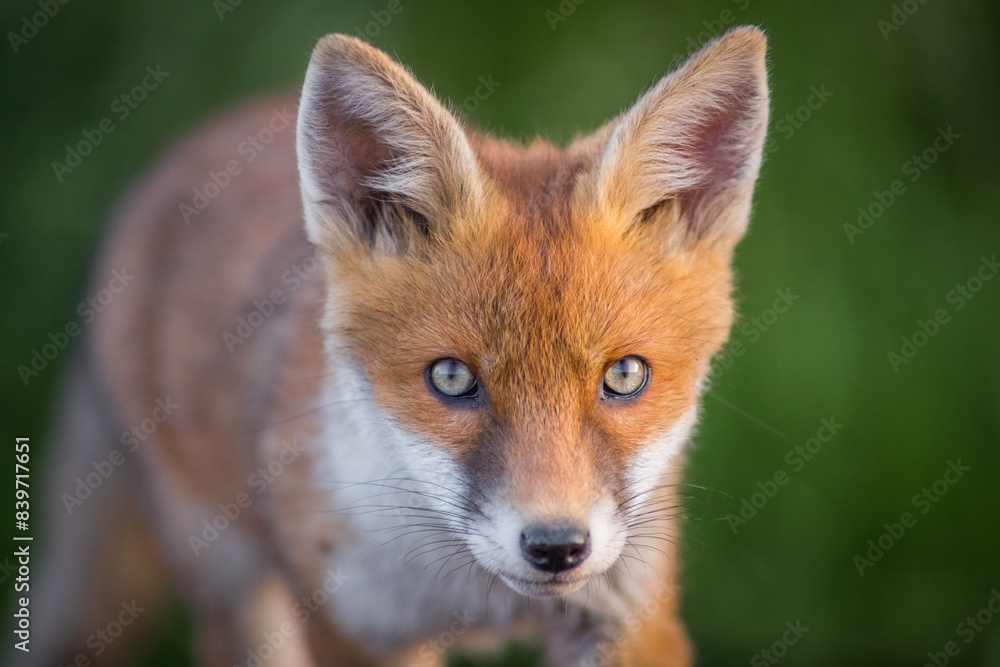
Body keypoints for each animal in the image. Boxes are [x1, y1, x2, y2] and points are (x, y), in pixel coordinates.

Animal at [27, 25, 769, 667]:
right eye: (451, 378)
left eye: (624, 376)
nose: (557, 547)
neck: (475, 596)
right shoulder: (350, 627)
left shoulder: (626, 610)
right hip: (230, 586)